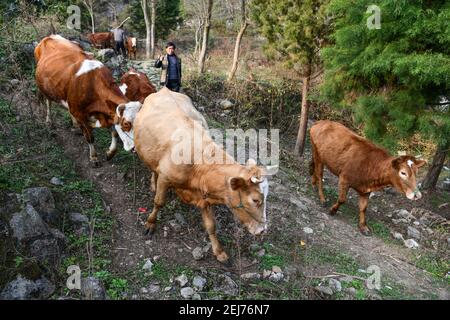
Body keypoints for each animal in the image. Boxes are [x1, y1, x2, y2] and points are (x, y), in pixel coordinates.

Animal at [34, 34, 141, 165]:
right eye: (126, 124)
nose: (136, 148)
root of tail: (50, 36)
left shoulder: (107, 112)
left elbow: (114, 132)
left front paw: (110, 153)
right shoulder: (80, 114)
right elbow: (90, 137)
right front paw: (94, 157)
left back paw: (74, 125)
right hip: (44, 88)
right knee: (48, 102)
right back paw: (49, 121)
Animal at [134, 87, 274, 262]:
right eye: (255, 200)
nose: (263, 230)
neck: (199, 165)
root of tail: (165, 90)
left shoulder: (204, 196)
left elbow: (211, 226)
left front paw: (219, 252)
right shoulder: (165, 178)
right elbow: (159, 202)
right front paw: (151, 223)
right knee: (153, 169)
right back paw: (153, 183)